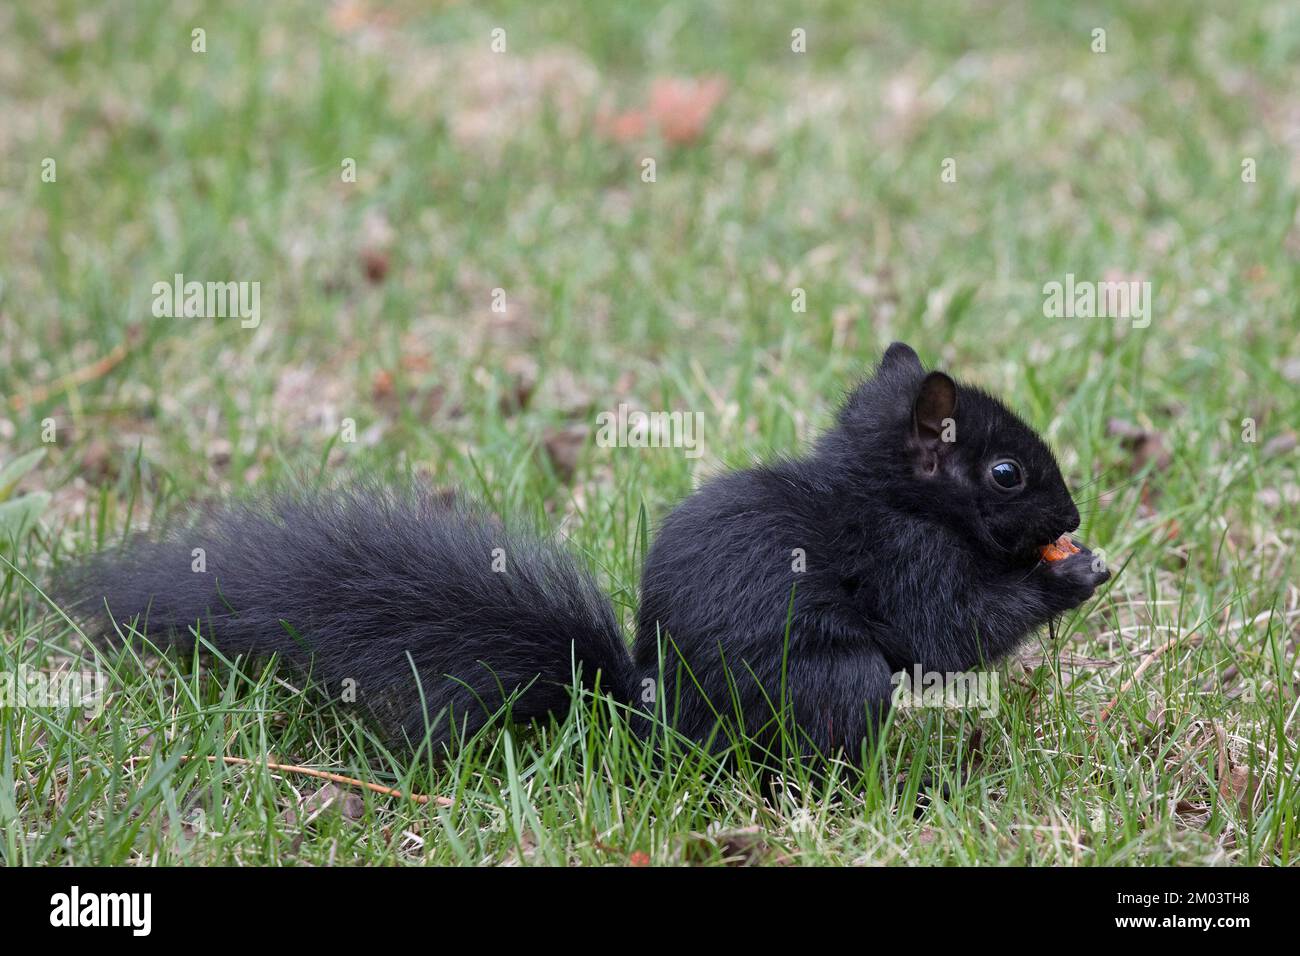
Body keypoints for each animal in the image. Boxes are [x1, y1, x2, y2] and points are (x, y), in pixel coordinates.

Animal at [63, 342, 1109, 764]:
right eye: (1007, 472)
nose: (1073, 509)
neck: (887, 491)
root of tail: (655, 720)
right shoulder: (902, 558)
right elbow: (947, 634)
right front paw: (1073, 574)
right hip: (833, 683)